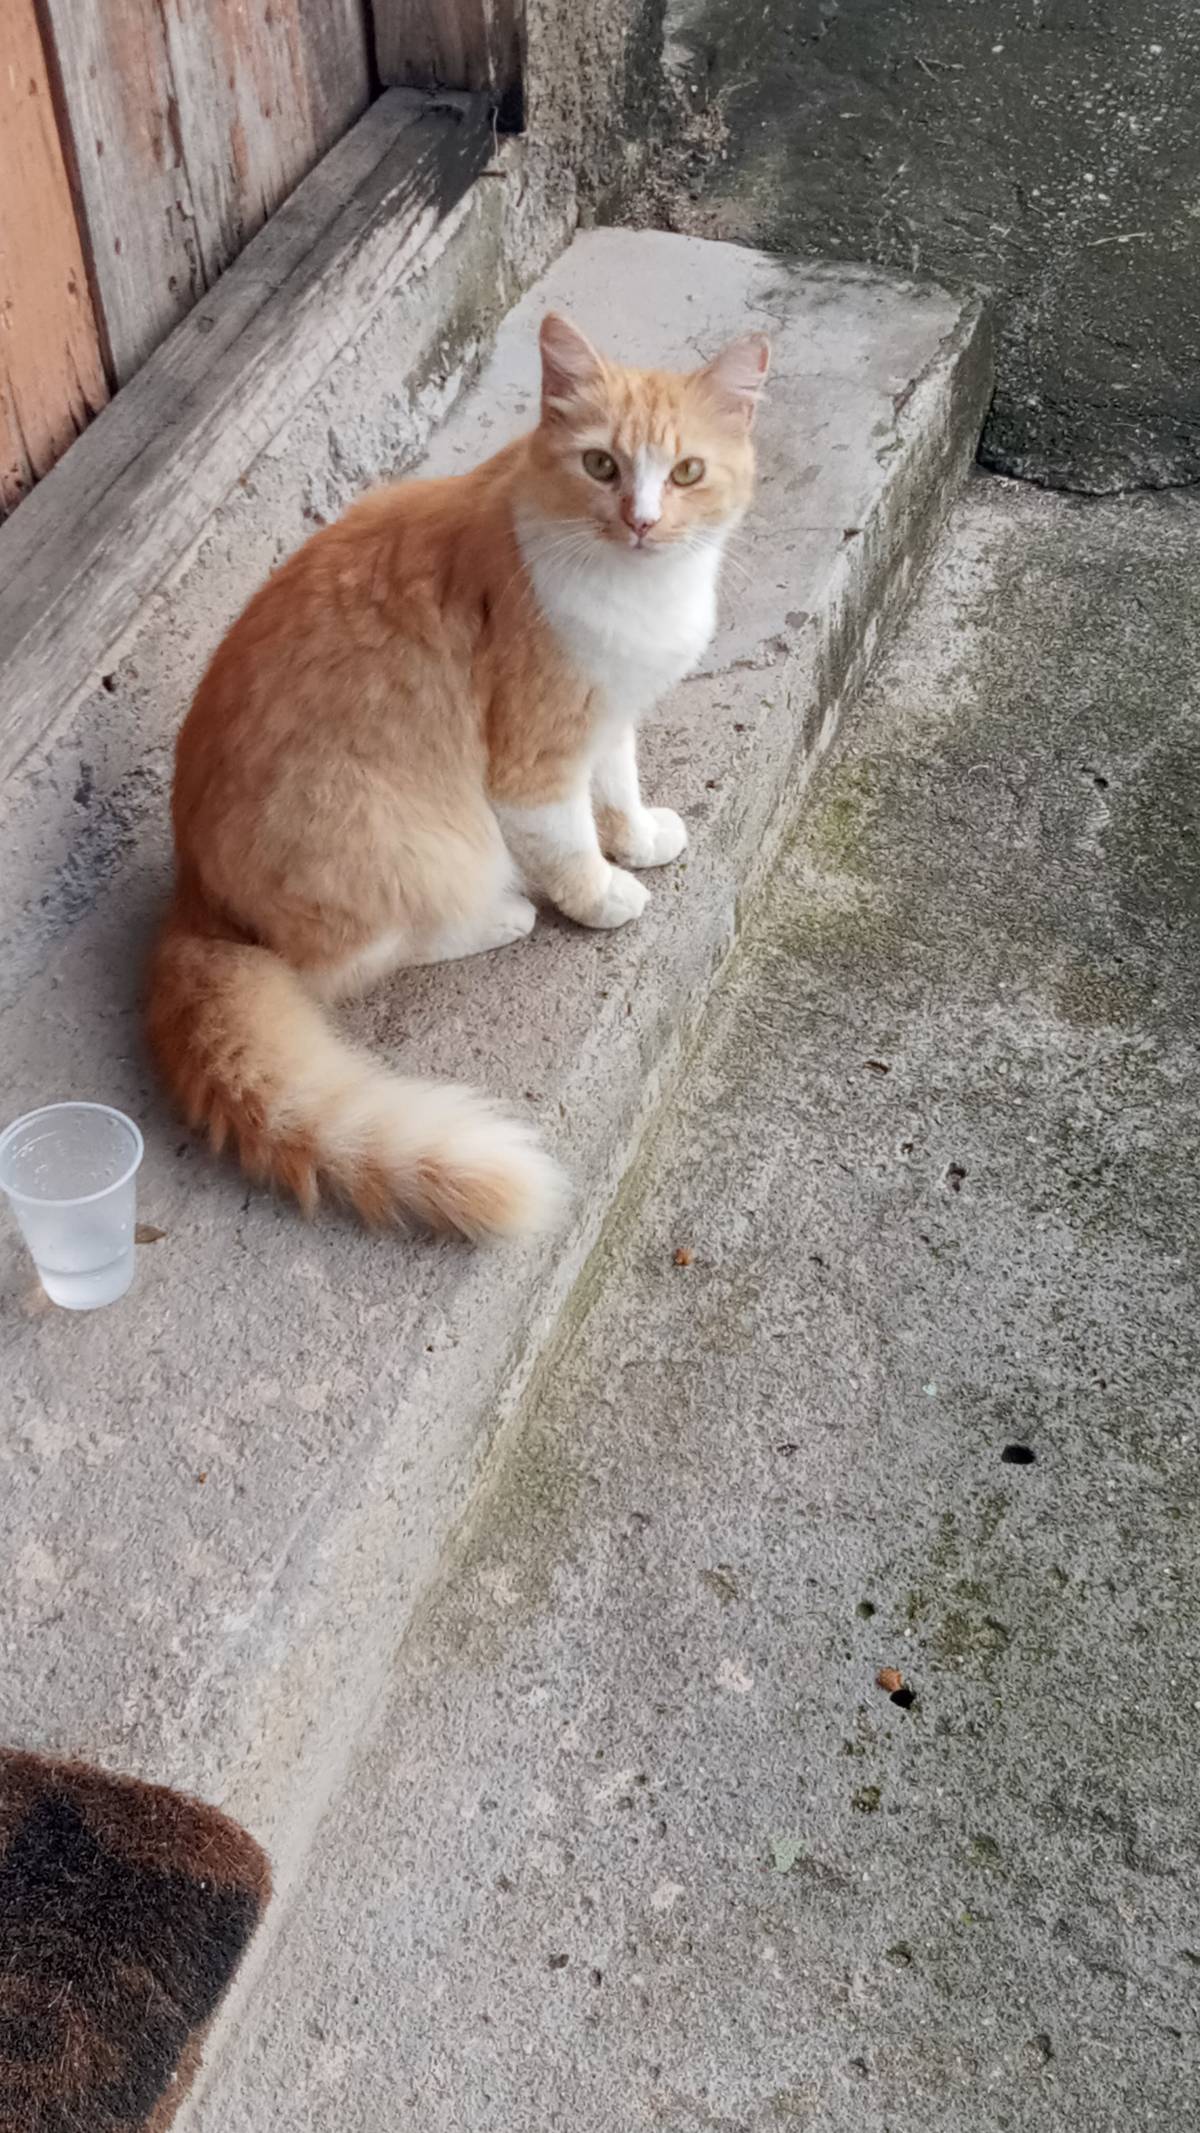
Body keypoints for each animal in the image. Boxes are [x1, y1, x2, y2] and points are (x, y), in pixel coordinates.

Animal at [146, 312, 770, 1239]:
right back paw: (501, 916)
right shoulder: (534, 758)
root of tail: (190, 898)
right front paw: (603, 895)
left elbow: (617, 787)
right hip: (413, 842)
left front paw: (638, 837)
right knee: (357, 958)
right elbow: (570, 845)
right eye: (601, 465)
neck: (640, 591)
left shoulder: (607, 715)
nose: (642, 520)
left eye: (686, 471)